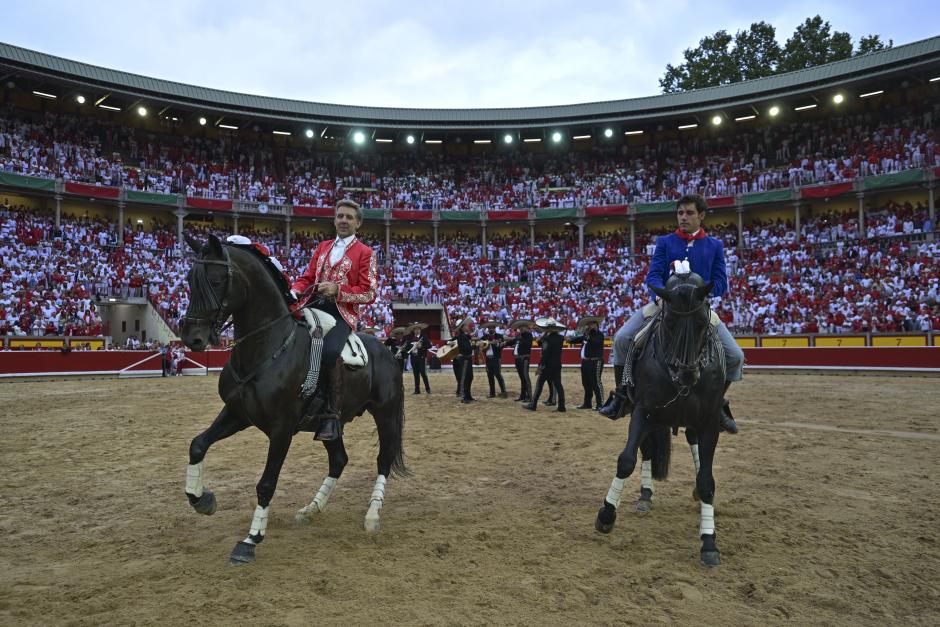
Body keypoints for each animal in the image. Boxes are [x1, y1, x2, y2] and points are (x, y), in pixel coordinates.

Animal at [180, 233, 408, 568]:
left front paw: (250, 540)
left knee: (383, 459)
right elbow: (197, 444)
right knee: (339, 459)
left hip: (386, 414)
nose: (192, 338)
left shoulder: (281, 428)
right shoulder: (238, 413)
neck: (267, 347)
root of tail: (389, 349)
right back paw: (311, 508)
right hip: (331, 425)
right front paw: (202, 499)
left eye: (218, 279)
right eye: (189, 279)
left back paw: (371, 515)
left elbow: (266, 482)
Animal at [596, 272, 728, 568]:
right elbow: (626, 460)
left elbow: (707, 480)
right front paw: (606, 515)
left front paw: (709, 543)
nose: (687, 373)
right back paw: (645, 495)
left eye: (701, 322)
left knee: (692, 445)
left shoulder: (710, 421)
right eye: (669, 321)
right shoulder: (643, 410)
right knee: (646, 451)